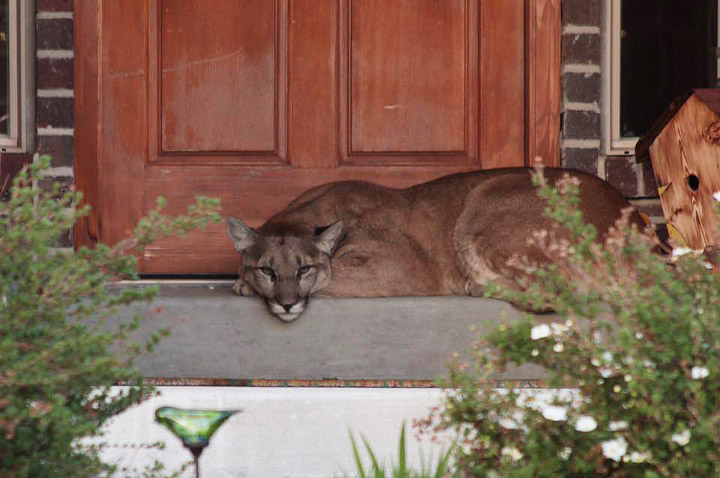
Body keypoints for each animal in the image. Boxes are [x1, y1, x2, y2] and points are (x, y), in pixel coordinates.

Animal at [228, 168, 644, 322]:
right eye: (268, 269)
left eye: (303, 268)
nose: (286, 302)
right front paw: (243, 281)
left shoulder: (402, 267)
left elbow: (332, 278)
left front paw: (243, 286)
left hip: (484, 204)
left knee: (557, 293)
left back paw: (477, 285)